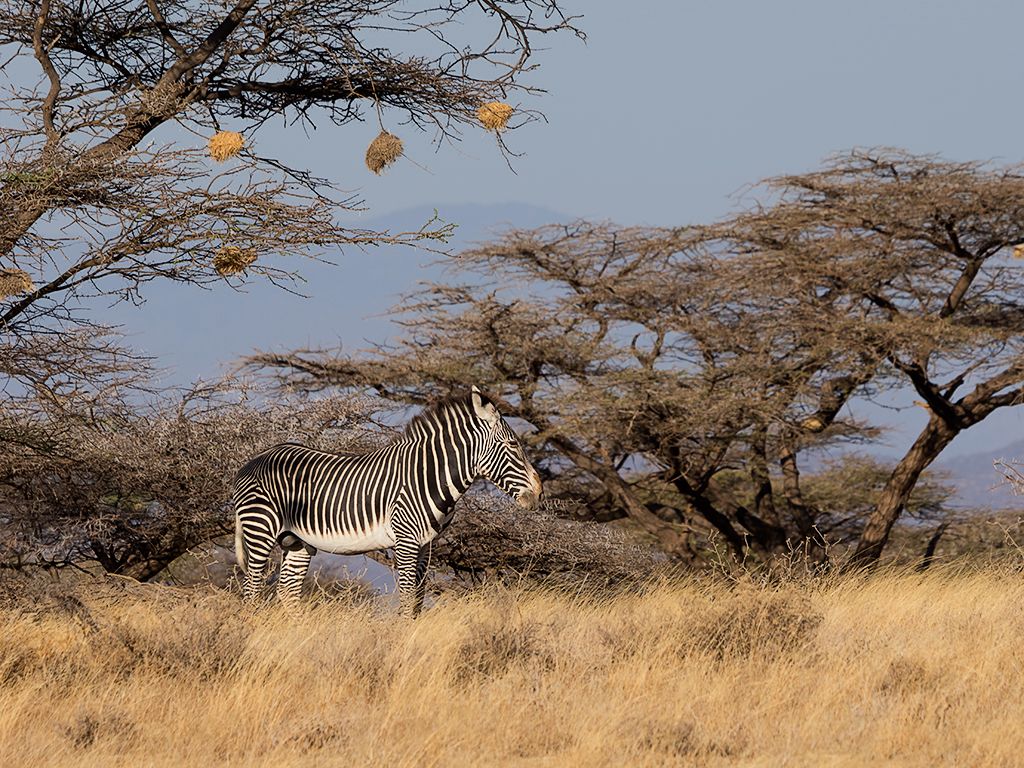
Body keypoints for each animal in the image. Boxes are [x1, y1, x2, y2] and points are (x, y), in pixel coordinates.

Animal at [232, 386, 543, 615]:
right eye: (513, 445)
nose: (539, 493)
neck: (427, 474)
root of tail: (253, 461)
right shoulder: (405, 540)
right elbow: (406, 598)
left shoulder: (425, 545)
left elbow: (418, 598)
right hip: (260, 530)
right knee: (252, 590)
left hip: (296, 541)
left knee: (287, 591)